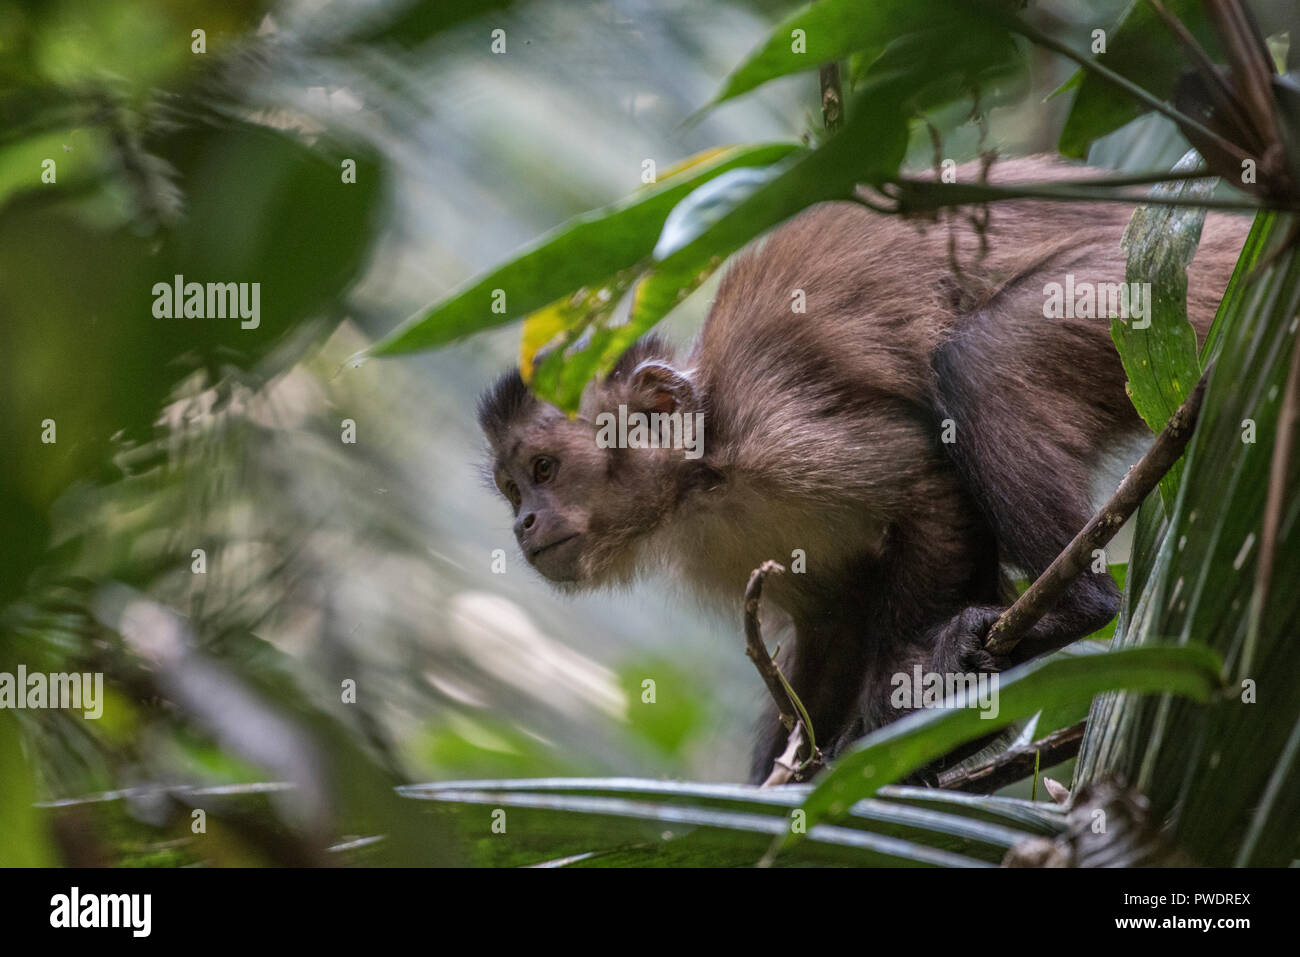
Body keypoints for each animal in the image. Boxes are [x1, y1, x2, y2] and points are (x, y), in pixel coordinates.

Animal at [478, 157, 1248, 780]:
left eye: (545, 468)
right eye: (513, 488)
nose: (523, 523)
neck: (706, 474)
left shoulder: (779, 431)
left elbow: (930, 490)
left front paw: (907, 693)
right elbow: (832, 623)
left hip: (1161, 284)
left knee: (982, 359)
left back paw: (1073, 609)